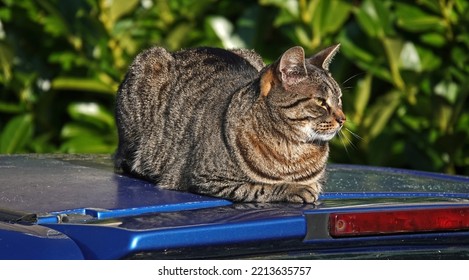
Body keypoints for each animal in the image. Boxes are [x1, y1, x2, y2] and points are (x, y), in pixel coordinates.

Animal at [114, 45, 344, 203]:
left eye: (339, 99)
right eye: (321, 102)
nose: (343, 119)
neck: (293, 148)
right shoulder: (206, 178)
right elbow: (258, 187)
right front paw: (294, 188)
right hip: (149, 64)